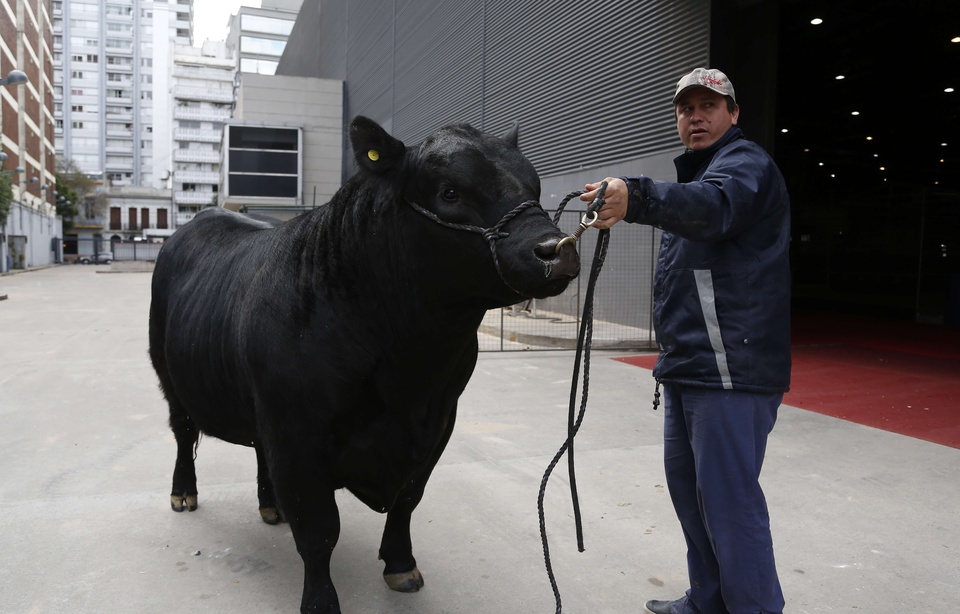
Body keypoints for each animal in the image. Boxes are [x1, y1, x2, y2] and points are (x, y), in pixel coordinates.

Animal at [149, 116, 580, 614]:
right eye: (450, 192)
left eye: (535, 185)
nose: (558, 248)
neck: (409, 368)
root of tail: (202, 219)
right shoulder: (295, 430)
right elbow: (319, 529)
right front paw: (321, 601)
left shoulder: (440, 420)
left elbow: (408, 498)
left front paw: (401, 566)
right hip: (168, 374)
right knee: (183, 433)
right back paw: (184, 493)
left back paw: (270, 506)